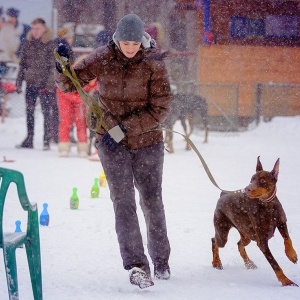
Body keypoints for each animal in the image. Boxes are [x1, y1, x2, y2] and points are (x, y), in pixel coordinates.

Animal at [212, 157, 298, 286]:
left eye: (262, 180)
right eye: (251, 179)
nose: (247, 189)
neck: (267, 205)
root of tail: (223, 194)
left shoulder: (282, 222)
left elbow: (287, 238)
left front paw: (292, 255)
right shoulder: (262, 242)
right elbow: (275, 264)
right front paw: (287, 282)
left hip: (246, 234)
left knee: (240, 244)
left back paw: (249, 263)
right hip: (222, 232)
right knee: (215, 241)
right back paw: (216, 262)